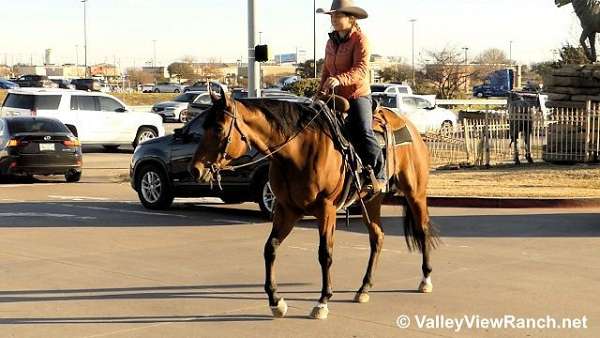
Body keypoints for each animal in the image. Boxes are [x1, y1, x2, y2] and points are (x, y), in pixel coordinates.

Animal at [191, 89, 436, 320]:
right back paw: (364, 288)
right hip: (371, 199)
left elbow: (324, 253)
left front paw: (322, 301)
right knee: (377, 237)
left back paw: (425, 279)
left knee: (422, 230)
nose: (195, 169)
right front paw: (276, 301)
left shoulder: (326, 209)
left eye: (219, 128)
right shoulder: (286, 209)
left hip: (415, 193)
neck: (298, 151)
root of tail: (409, 126)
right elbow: (270, 248)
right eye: (203, 126)